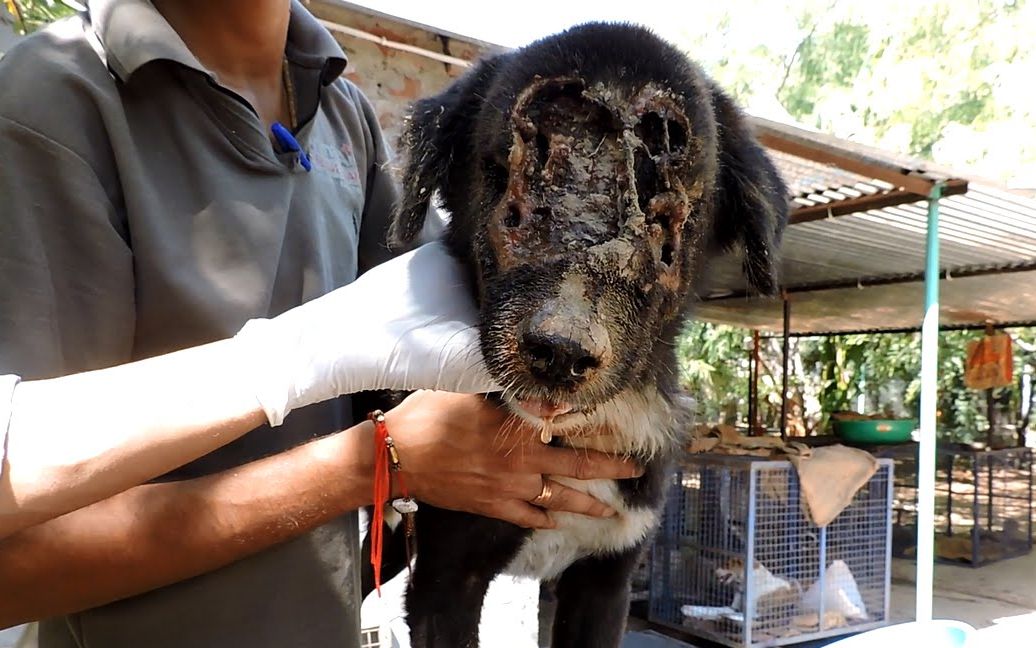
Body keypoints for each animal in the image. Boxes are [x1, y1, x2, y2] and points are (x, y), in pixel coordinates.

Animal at [368, 21, 779, 646]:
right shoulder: (445, 575)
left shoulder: (607, 576)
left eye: (665, 223)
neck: (563, 442)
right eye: (507, 191)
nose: (560, 354)